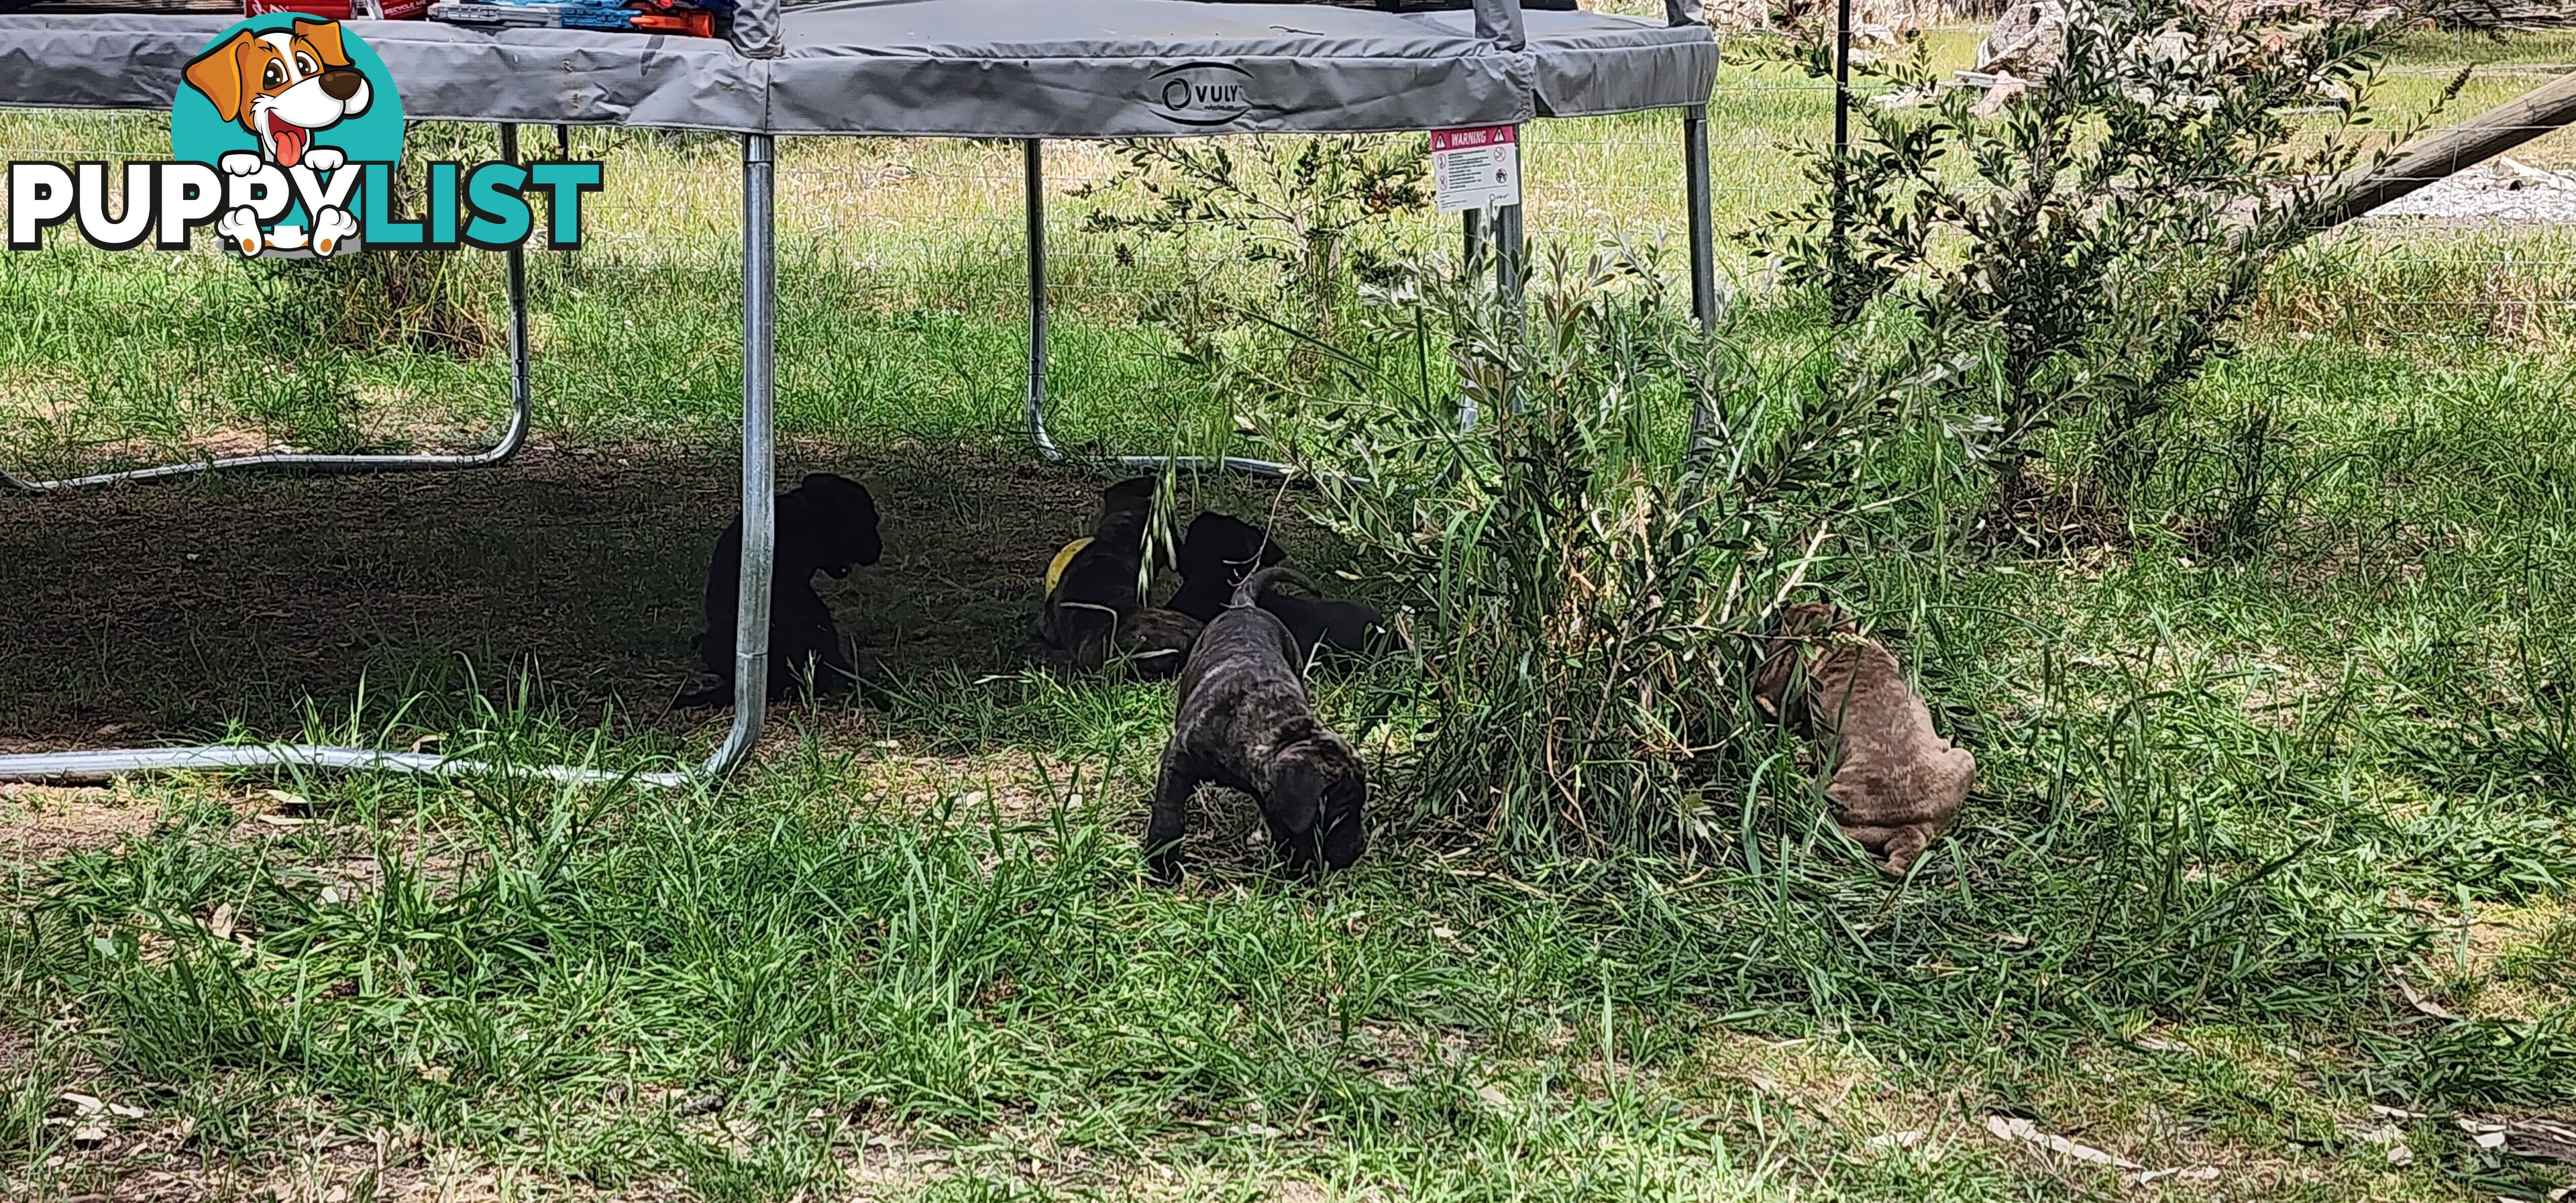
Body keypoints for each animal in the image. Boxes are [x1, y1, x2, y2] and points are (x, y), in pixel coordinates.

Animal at [1148, 564, 1370, 886]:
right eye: (1340, 815)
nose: (1359, 849)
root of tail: (1247, 606)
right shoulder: (1179, 757)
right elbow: (1169, 813)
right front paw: (1162, 863)